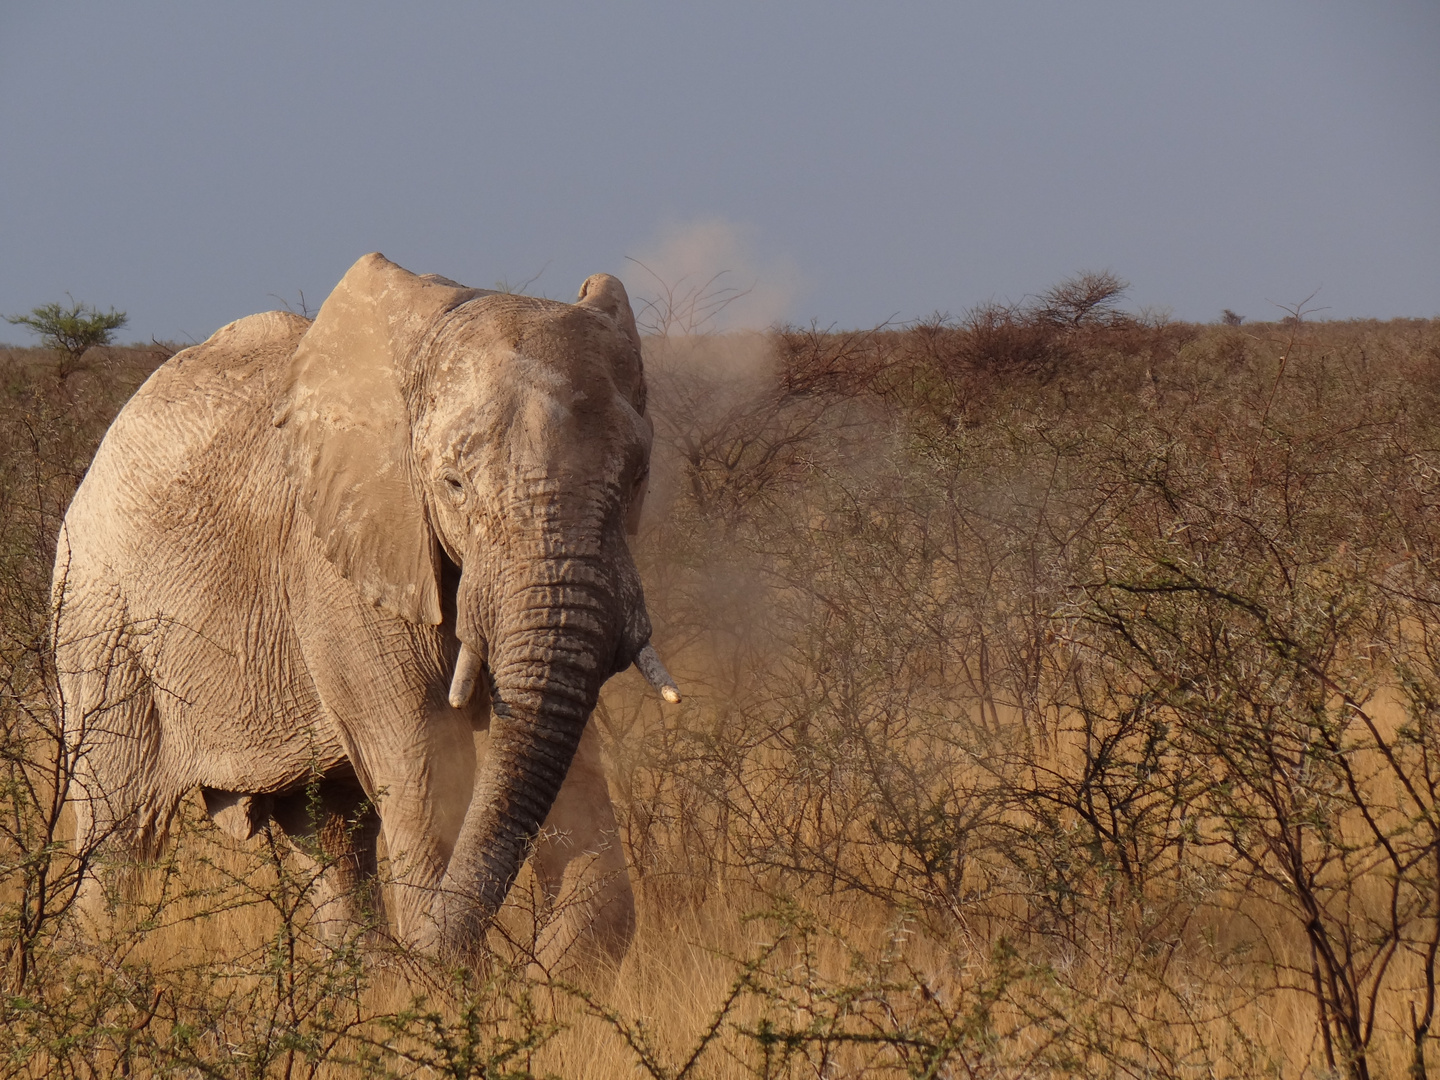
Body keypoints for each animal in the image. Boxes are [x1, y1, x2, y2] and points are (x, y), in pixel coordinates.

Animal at [50, 256, 679, 973]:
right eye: (452, 485)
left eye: (638, 475)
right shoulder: (338, 566)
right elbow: (419, 757)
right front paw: (438, 970)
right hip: (101, 618)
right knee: (118, 830)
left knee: (329, 837)